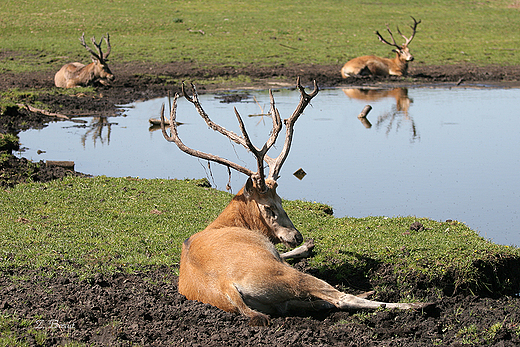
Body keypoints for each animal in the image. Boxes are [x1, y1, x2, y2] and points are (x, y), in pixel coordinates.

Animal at [159, 78, 430, 326]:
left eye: (281, 199)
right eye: (269, 206)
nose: (297, 236)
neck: (229, 223)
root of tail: (227, 289)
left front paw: (307, 246)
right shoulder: (274, 256)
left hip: (274, 301)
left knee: (313, 303)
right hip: (281, 276)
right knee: (340, 298)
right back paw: (415, 304)